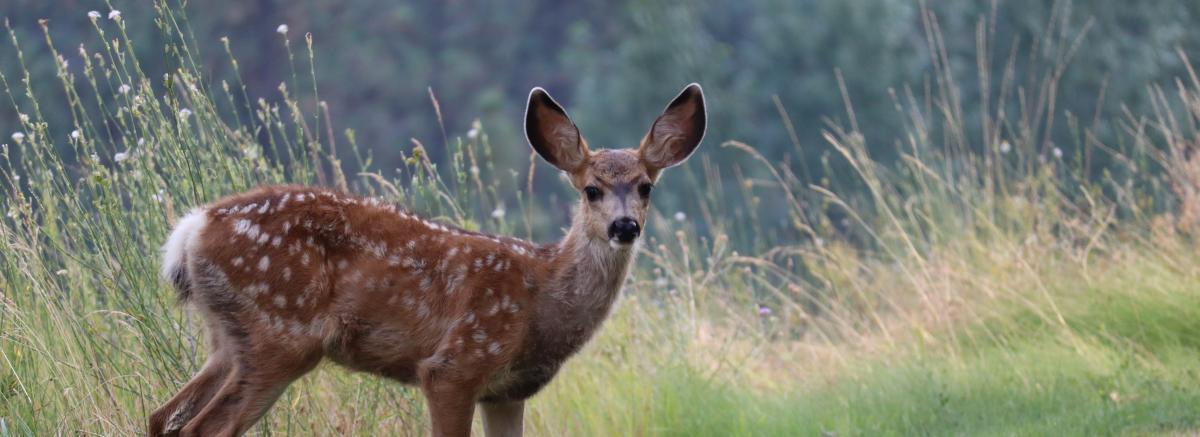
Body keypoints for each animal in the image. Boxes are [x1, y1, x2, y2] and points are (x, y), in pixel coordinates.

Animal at [149, 83, 706, 437]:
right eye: (592, 190)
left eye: (646, 187)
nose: (624, 226)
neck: (541, 299)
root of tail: (192, 229)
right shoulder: (456, 364)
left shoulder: (507, 391)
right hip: (281, 332)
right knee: (200, 428)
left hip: (229, 338)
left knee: (163, 418)